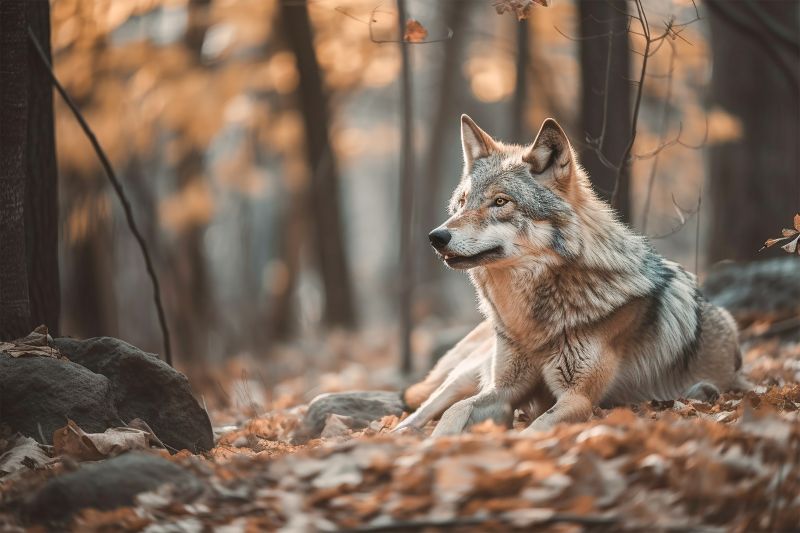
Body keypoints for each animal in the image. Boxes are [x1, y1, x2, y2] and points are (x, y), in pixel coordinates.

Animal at [395, 115, 747, 436]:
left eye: (500, 202)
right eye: (462, 202)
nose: (436, 237)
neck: (531, 325)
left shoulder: (578, 397)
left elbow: (533, 430)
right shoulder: (503, 388)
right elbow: (456, 411)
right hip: (468, 373)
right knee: (429, 405)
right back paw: (398, 433)